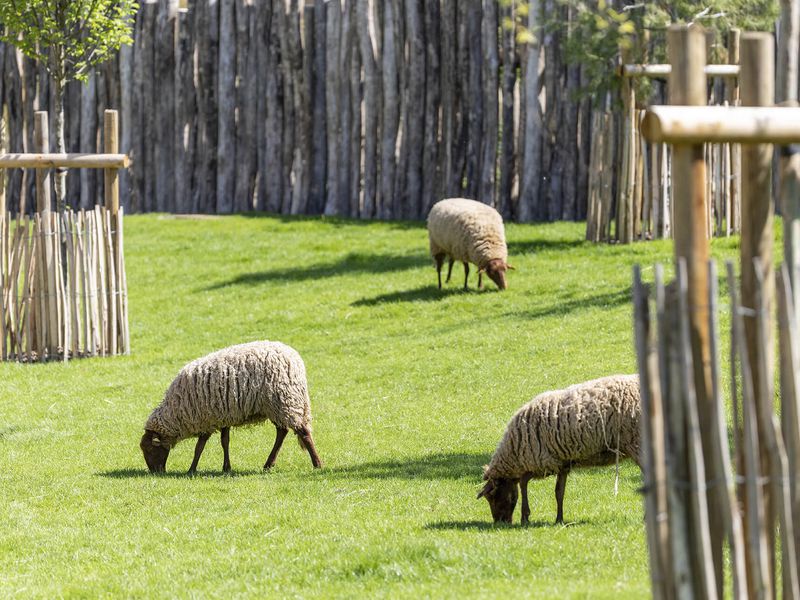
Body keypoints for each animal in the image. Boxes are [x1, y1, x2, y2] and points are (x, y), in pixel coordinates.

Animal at [140, 341, 322, 474]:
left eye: (149, 449)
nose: (156, 472)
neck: (177, 412)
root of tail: (296, 360)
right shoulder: (222, 416)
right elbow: (224, 442)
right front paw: (226, 468)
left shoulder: (206, 418)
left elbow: (200, 446)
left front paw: (191, 469)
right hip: (277, 406)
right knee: (282, 432)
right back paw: (268, 464)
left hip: (285, 401)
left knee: (303, 432)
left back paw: (317, 464)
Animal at [477, 375, 641, 525]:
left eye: (492, 496)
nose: (500, 523)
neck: (515, 451)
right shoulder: (561, 463)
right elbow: (559, 492)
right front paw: (559, 520)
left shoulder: (541, 460)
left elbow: (524, 482)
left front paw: (525, 517)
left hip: (635, 442)